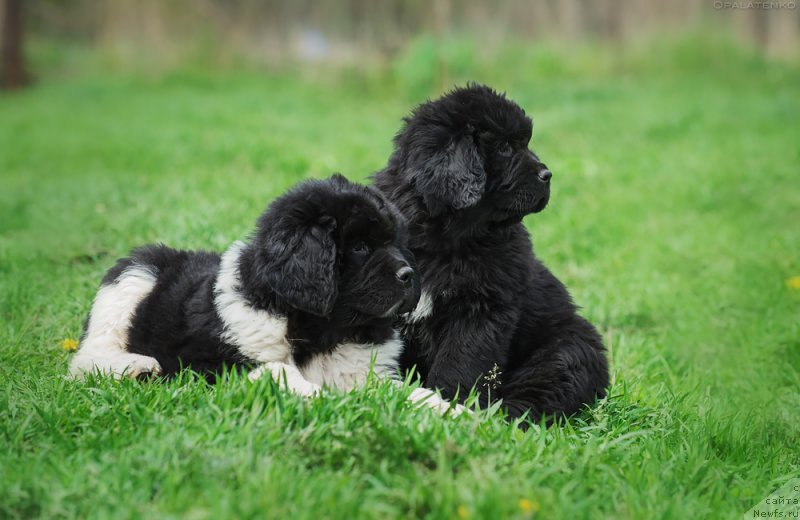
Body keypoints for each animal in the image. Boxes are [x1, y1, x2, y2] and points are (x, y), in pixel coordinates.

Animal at [71, 175, 466, 410]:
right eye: (359, 248)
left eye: (396, 242)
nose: (410, 276)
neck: (321, 329)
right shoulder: (216, 362)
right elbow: (277, 371)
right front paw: (315, 397)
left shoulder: (361, 373)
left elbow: (410, 394)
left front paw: (455, 413)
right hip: (134, 275)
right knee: (87, 356)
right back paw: (136, 367)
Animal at [372, 82, 608, 422]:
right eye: (506, 147)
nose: (548, 175)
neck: (446, 234)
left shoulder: (482, 309)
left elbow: (460, 365)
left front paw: (450, 406)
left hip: (568, 351)